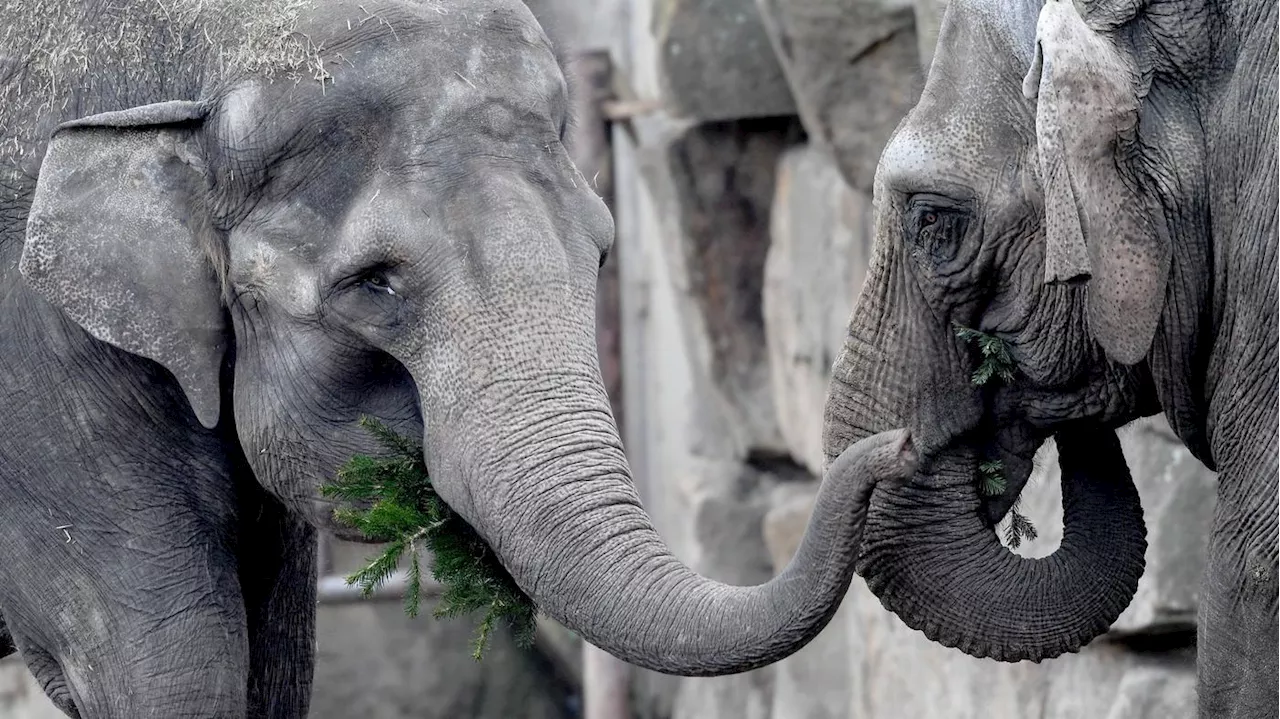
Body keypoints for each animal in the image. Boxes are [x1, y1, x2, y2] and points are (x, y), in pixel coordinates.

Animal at [0, 0, 926, 711]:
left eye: (601, 253)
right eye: (374, 284)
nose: (901, 441)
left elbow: (277, 659)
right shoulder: (42, 375)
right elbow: (174, 666)